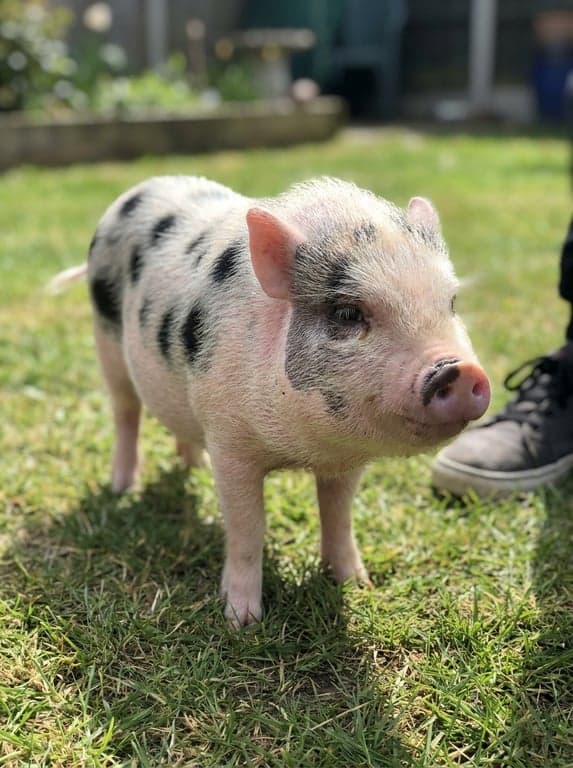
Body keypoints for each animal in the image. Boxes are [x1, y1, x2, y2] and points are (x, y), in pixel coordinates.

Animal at [51, 175, 490, 628]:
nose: (458, 371)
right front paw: (242, 621)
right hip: (106, 343)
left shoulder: (344, 461)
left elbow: (338, 516)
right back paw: (123, 487)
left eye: (451, 303)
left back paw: (193, 466)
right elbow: (248, 526)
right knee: (125, 413)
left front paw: (357, 586)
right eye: (347, 313)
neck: (299, 448)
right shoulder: (230, 443)